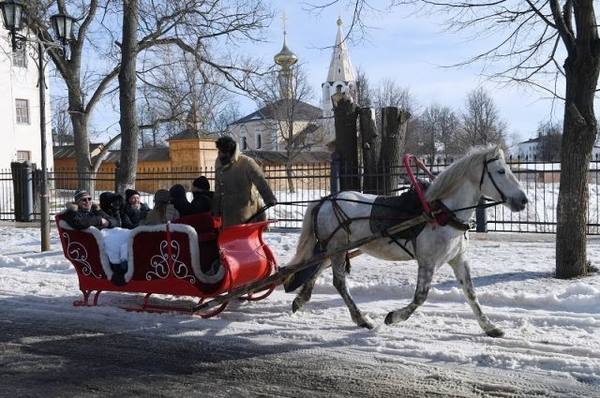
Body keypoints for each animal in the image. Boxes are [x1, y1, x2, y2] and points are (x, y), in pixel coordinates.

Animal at [288, 145, 528, 338]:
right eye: (501, 171)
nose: (524, 200)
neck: (442, 212)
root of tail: (325, 200)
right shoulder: (428, 261)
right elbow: (420, 296)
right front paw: (393, 317)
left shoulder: (459, 259)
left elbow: (471, 294)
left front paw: (490, 327)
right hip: (337, 248)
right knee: (338, 282)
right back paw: (361, 318)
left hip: (332, 248)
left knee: (316, 268)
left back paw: (302, 299)